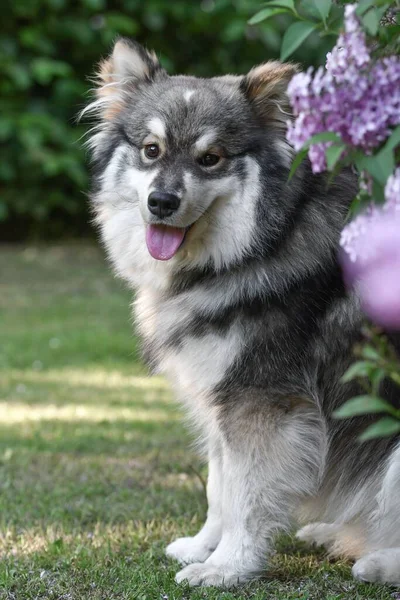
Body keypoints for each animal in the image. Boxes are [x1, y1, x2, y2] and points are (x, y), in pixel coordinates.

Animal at [82, 39, 400, 588]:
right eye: (151, 150)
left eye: (210, 159)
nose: (161, 202)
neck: (255, 247)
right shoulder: (221, 397)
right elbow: (220, 490)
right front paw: (202, 547)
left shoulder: (263, 405)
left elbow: (247, 499)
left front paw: (228, 567)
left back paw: (378, 561)